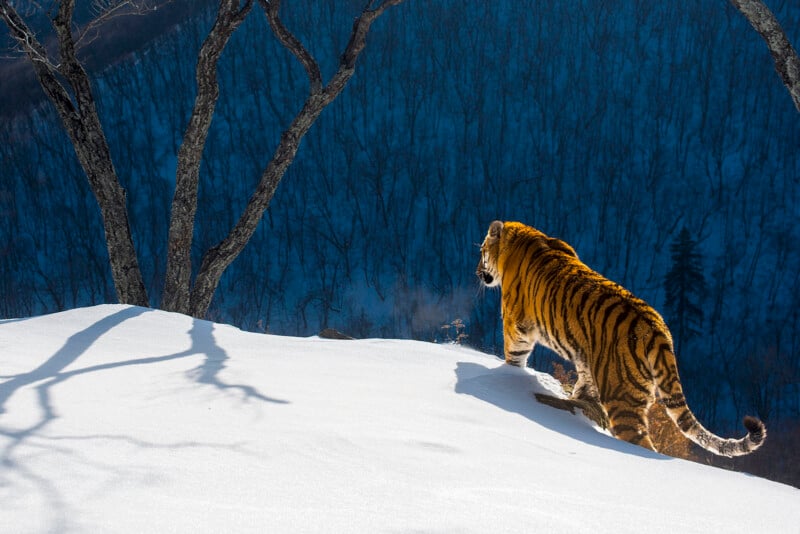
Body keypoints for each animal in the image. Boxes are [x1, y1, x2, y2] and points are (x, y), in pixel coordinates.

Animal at [478, 220, 764, 458]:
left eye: (481, 250)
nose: (478, 272)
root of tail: (657, 328)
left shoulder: (516, 325)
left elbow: (515, 356)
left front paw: (508, 374)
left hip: (622, 398)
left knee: (640, 442)